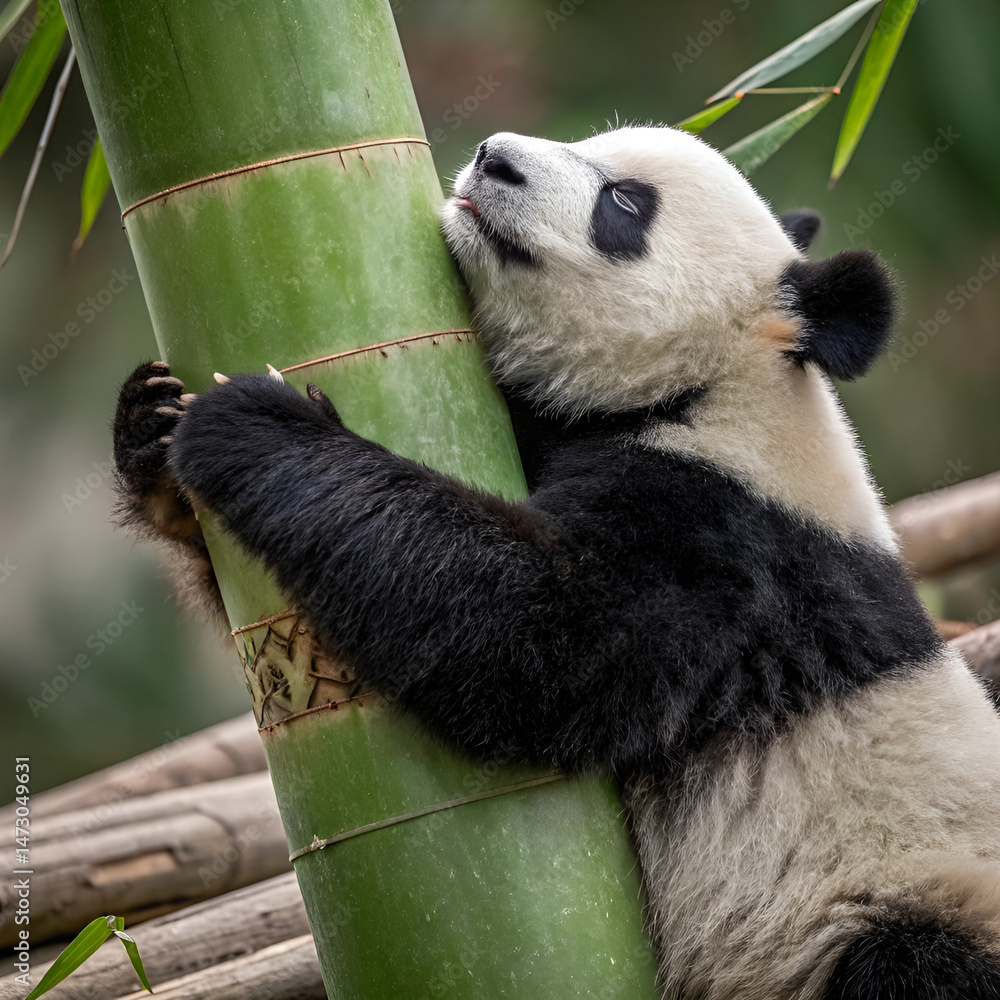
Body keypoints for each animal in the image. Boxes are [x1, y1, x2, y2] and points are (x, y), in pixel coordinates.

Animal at [113, 126, 1000, 999]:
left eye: (626, 204)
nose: (492, 158)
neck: (706, 389)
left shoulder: (723, 537)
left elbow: (537, 637)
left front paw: (253, 421)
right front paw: (153, 432)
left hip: (899, 897)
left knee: (906, 963)